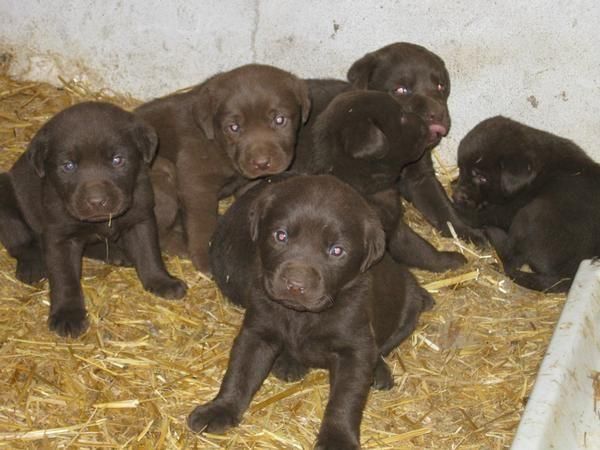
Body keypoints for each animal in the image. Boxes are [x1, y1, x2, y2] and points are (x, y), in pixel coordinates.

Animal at [0, 101, 186, 334]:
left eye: (117, 160)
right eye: (68, 166)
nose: (96, 201)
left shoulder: (140, 217)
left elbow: (149, 254)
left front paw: (161, 281)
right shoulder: (60, 236)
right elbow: (65, 278)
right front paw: (67, 314)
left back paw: (116, 253)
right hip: (5, 198)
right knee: (20, 243)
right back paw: (32, 266)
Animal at [196, 174, 432, 448]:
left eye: (337, 251)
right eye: (280, 236)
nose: (296, 285)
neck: (301, 316)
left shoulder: (354, 350)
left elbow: (345, 400)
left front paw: (337, 438)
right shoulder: (257, 332)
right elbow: (239, 374)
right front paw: (219, 409)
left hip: (410, 307)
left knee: (383, 347)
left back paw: (379, 371)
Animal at [452, 116, 600, 292]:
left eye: (482, 177)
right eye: (460, 168)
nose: (457, 196)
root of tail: (568, 277)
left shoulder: (509, 209)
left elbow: (483, 215)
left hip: (530, 214)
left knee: (511, 258)